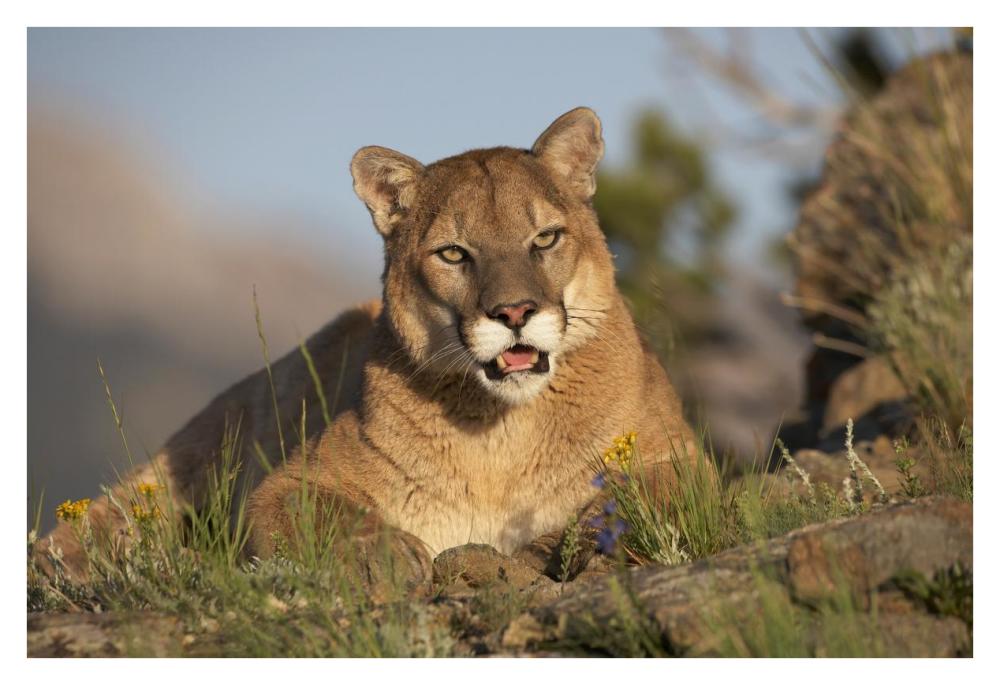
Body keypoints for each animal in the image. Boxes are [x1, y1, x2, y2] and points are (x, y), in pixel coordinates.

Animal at [36, 107, 698, 586]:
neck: (503, 435)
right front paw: (386, 552)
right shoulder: (288, 484)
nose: (513, 313)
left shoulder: (681, 458)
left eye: (545, 239)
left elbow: (649, 495)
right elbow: (322, 514)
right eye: (453, 253)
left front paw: (575, 541)